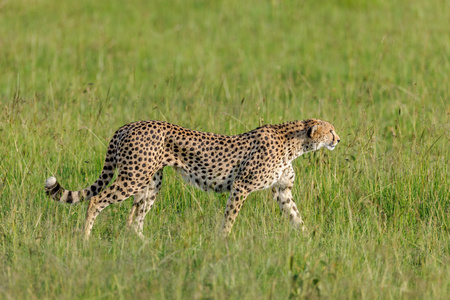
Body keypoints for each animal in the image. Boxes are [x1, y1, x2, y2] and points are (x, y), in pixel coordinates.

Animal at [45, 118, 340, 240]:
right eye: (330, 131)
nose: (338, 139)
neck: (295, 143)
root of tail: (128, 125)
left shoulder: (282, 190)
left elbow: (296, 217)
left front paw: (309, 241)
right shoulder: (241, 186)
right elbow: (230, 218)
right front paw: (222, 241)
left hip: (150, 182)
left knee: (133, 219)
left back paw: (146, 246)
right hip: (133, 177)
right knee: (96, 200)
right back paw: (85, 240)